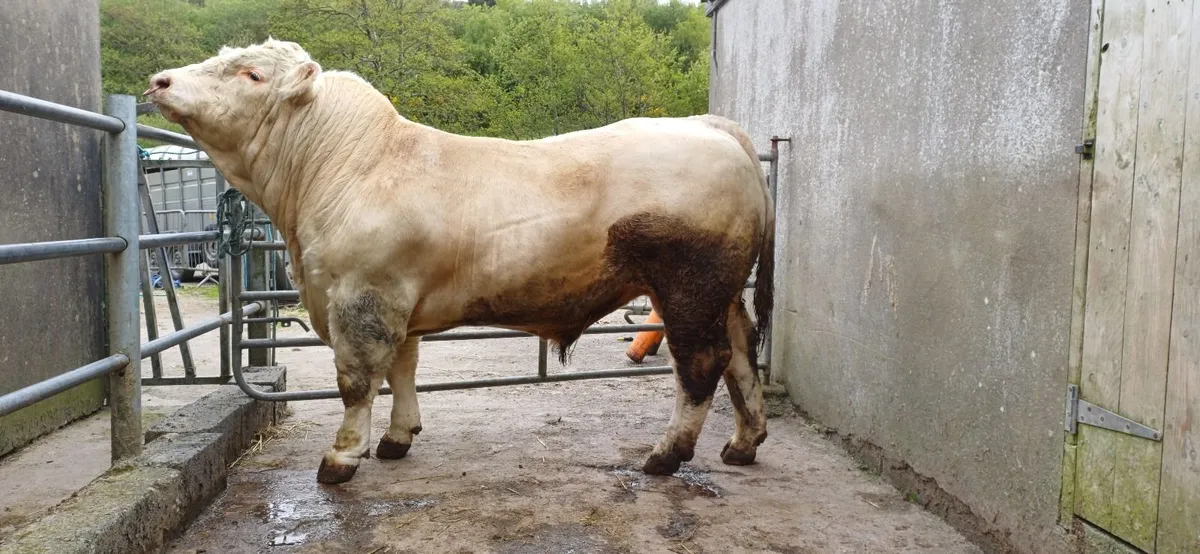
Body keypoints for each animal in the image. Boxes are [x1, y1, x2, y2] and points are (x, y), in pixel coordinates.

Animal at [145, 39, 775, 485]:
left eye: (251, 74)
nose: (160, 79)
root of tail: (711, 126)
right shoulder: (396, 302)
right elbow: (402, 368)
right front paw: (398, 438)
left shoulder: (361, 298)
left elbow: (356, 382)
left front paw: (341, 459)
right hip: (722, 292)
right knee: (742, 352)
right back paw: (743, 444)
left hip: (689, 285)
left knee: (701, 364)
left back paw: (666, 455)